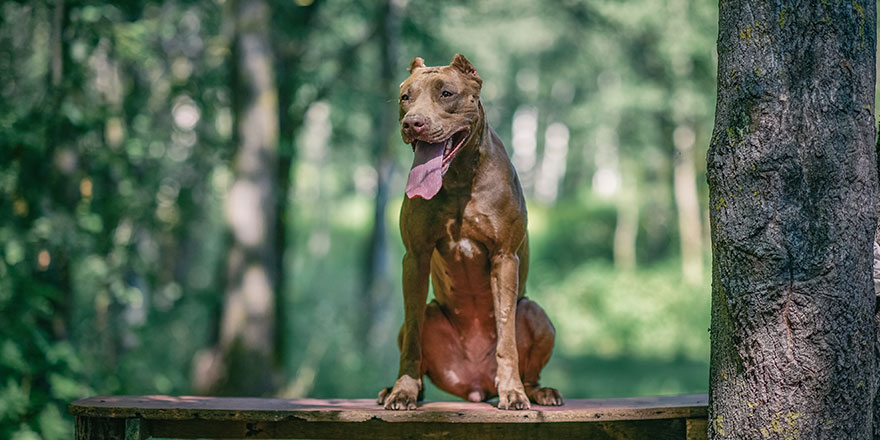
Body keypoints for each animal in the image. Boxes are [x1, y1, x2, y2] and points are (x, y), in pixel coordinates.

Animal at [374, 54, 560, 410]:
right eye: (405, 97)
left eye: (447, 93)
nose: (413, 123)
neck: (459, 177)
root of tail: (475, 386)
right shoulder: (415, 258)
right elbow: (413, 339)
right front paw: (403, 390)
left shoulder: (504, 257)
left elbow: (506, 336)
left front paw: (512, 392)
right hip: (427, 315)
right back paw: (397, 389)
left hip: (536, 315)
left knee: (530, 369)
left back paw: (536, 391)